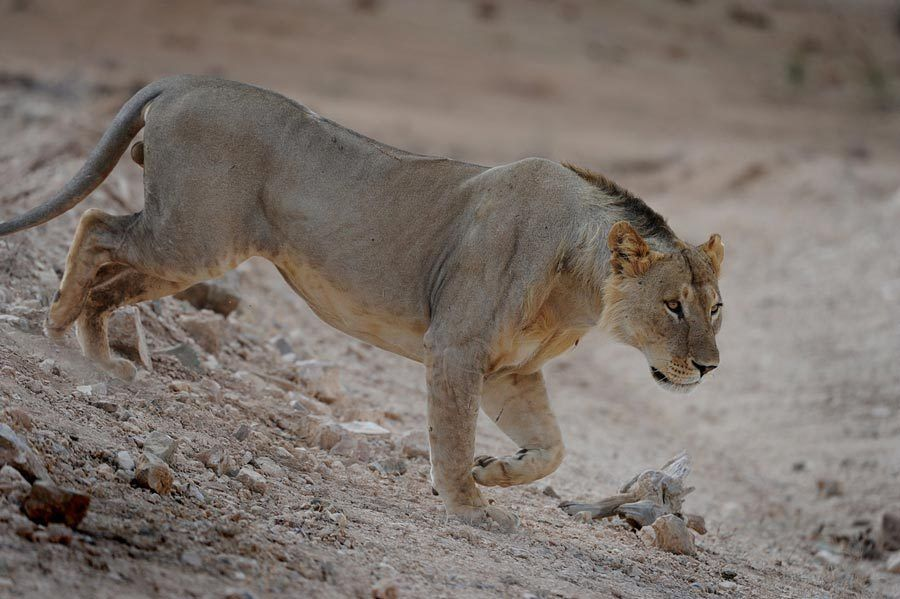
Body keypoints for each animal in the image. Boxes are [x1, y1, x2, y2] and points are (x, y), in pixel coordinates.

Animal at [0, 75, 720, 528]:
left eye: (715, 309)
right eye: (673, 306)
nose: (709, 368)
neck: (581, 286)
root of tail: (180, 83)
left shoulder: (510, 371)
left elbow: (552, 448)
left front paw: (492, 471)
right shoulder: (456, 346)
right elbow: (451, 433)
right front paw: (468, 506)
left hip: (187, 247)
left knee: (108, 267)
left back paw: (99, 357)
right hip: (191, 239)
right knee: (95, 226)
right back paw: (58, 327)